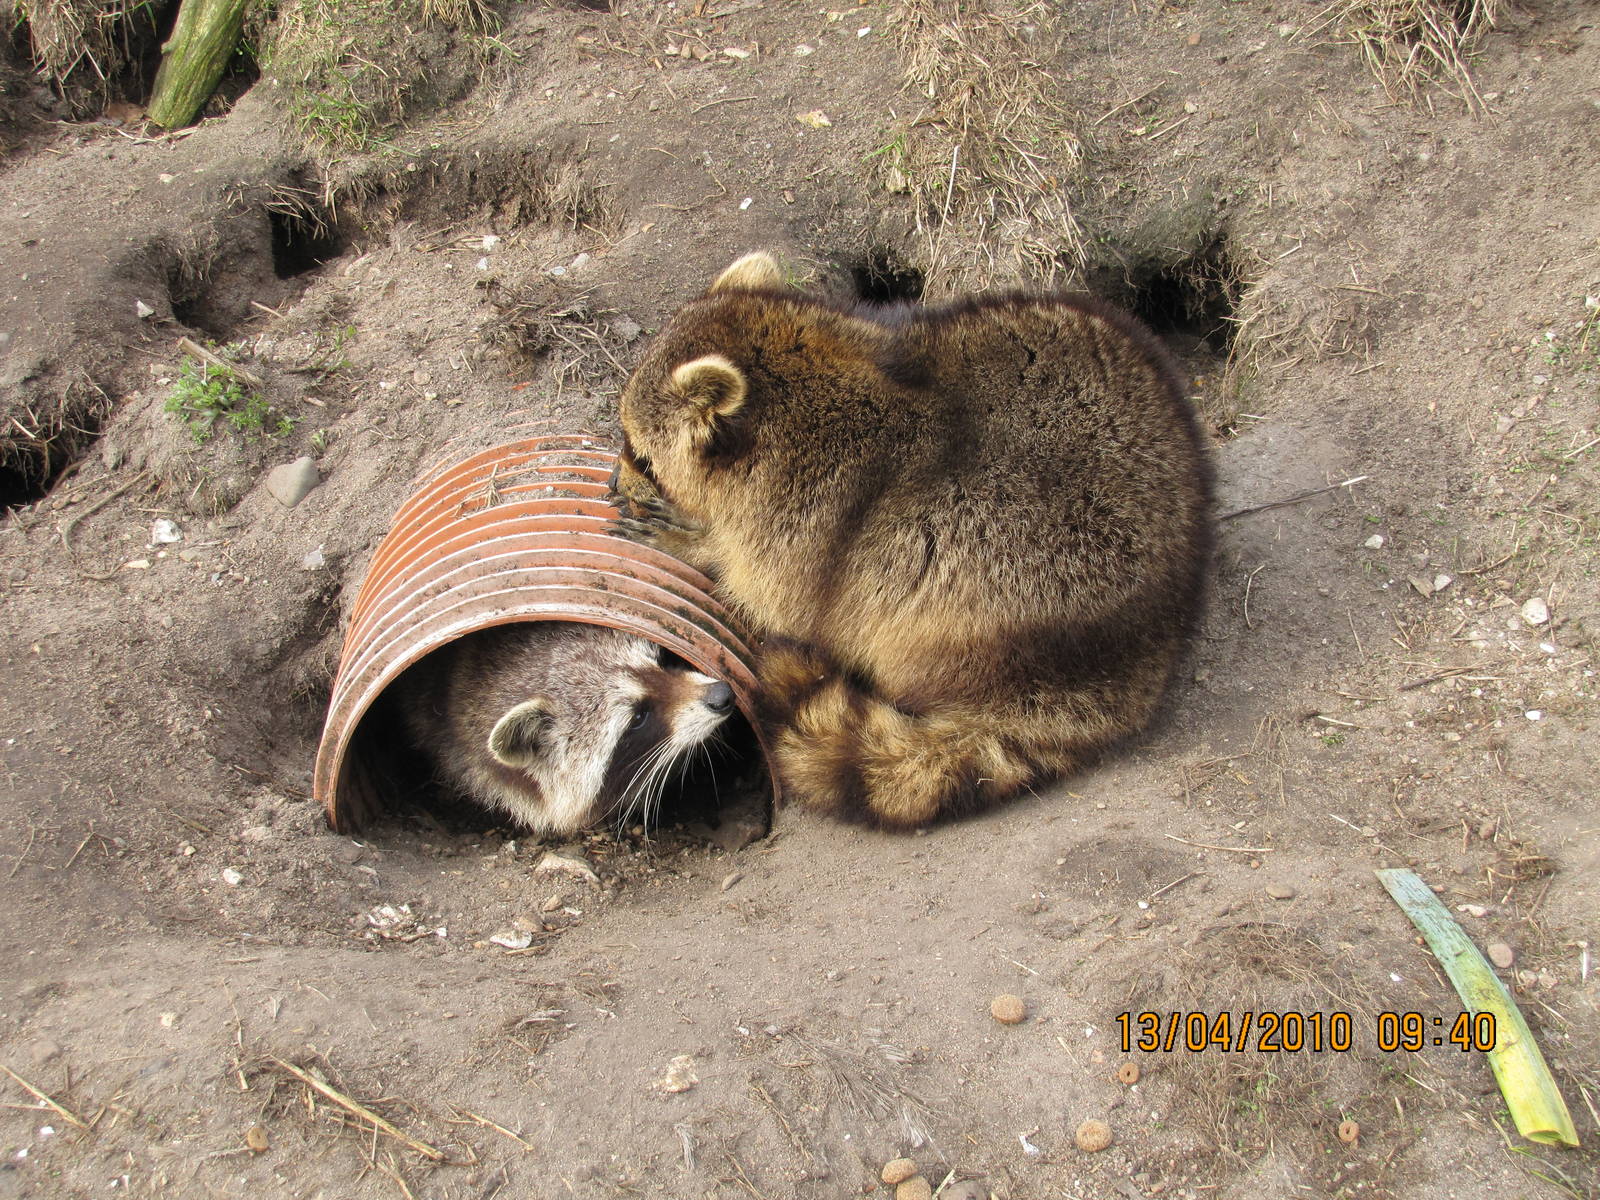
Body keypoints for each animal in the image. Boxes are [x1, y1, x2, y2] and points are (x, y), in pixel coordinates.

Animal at [613, 251, 1213, 830]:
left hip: (990, 585)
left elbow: (772, 599)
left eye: (641, 454)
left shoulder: (803, 522)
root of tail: (1138, 660)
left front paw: (697, 544)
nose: (617, 479)